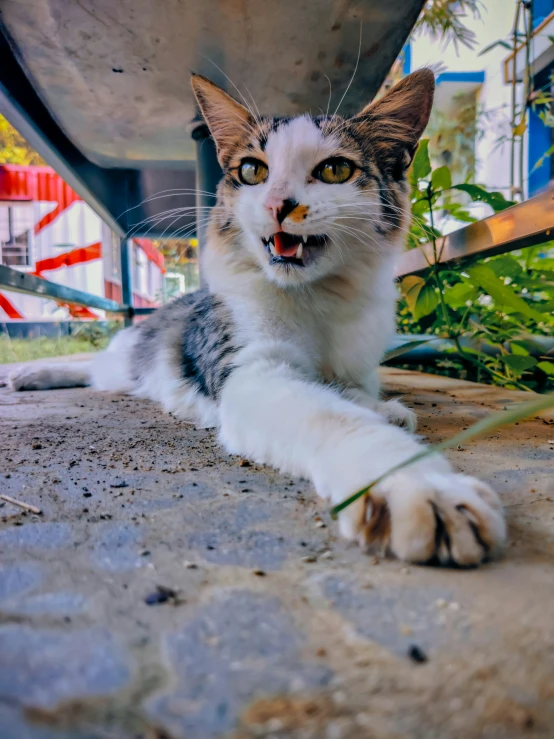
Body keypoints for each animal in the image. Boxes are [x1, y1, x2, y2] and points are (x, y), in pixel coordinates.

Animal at [8, 71, 502, 568]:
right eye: (252, 171)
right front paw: (417, 484)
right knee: (93, 365)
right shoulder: (251, 372)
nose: (280, 204)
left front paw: (382, 408)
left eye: (335, 170)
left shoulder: (356, 361)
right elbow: (330, 414)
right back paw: (32, 373)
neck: (315, 297)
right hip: (128, 360)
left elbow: (350, 390)